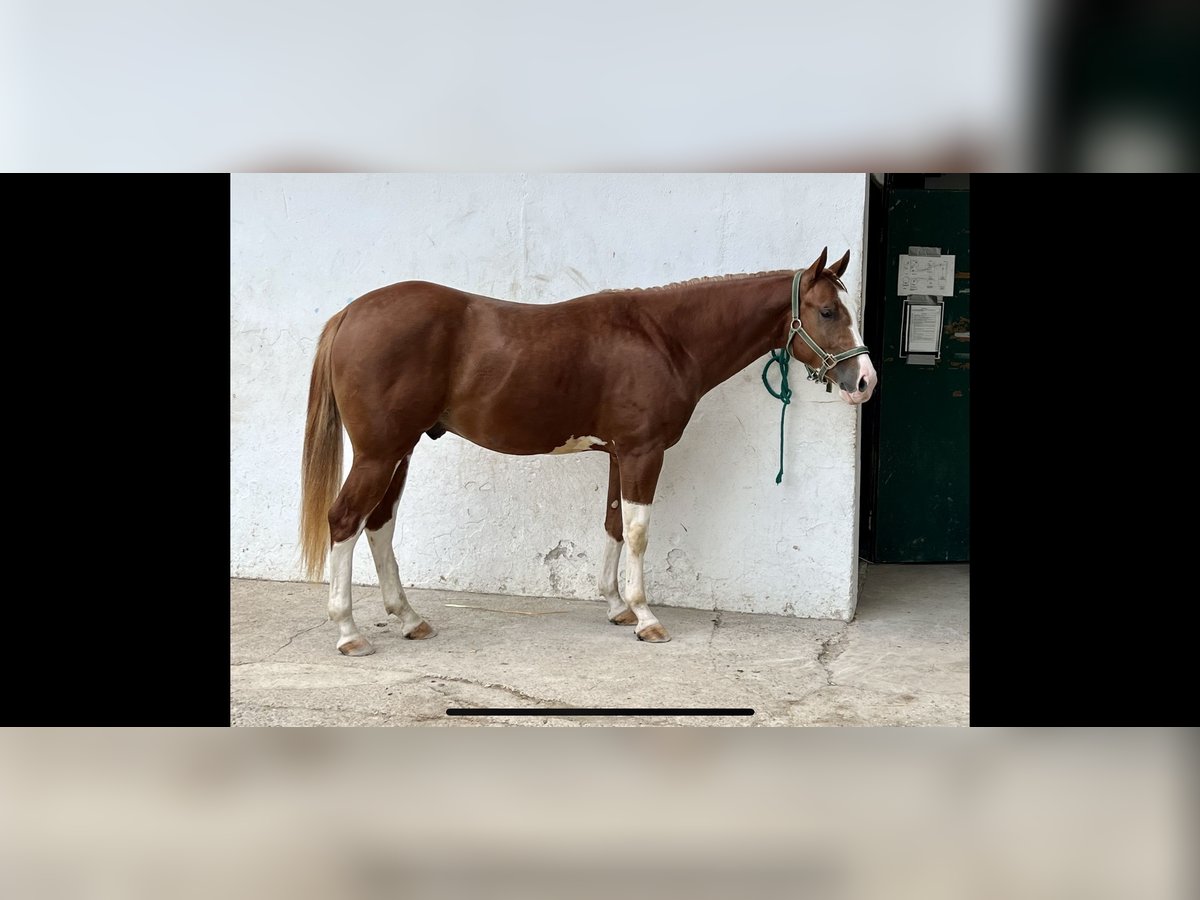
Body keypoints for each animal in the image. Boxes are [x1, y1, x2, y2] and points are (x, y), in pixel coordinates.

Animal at [302, 247, 873, 657]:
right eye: (827, 311)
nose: (864, 381)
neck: (665, 337)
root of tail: (351, 313)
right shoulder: (644, 453)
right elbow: (639, 532)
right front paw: (647, 619)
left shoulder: (620, 455)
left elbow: (614, 524)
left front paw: (618, 608)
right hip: (380, 453)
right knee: (346, 520)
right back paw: (349, 632)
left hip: (399, 452)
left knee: (379, 525)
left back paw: (410, 619)